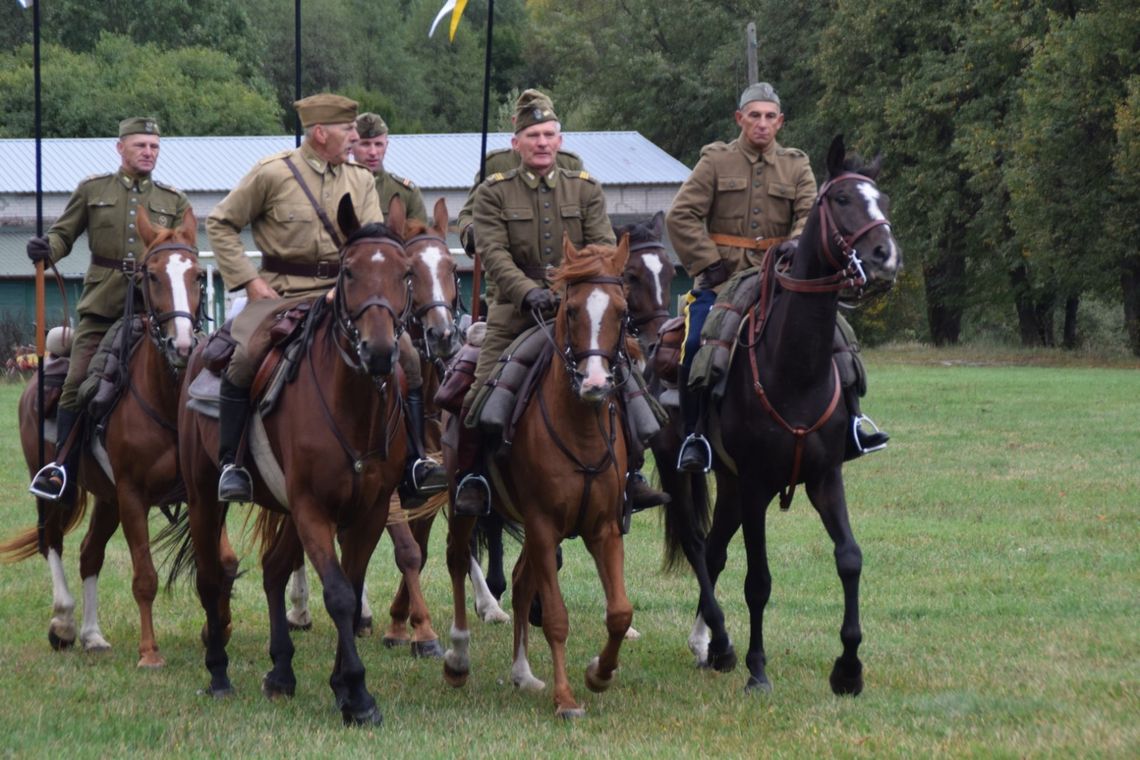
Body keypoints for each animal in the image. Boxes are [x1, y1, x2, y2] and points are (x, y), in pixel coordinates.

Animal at [1, 208, 205, 665]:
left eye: (198, 275)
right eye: (151, 275)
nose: (183, 346)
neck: (162, 397)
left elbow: (218, 559)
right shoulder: (132, 495)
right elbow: (144, 575)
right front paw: (149, 652)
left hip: (107, 498)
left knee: (89, 552)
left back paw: (92, 634)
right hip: (61, 488)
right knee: (52, 541)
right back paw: (63, 622)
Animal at [173, 195, 410, 724]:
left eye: (404, 273)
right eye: (348, 271)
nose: (380, 352)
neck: (351, 407)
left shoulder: (368, 510)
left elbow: (351, 587)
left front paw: (342, 686)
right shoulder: (312, 509)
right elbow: (339, 594)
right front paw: (358, 694)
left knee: (273, 568)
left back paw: (281, 672)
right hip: (203, 496)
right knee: (210, 579)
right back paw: (218, 673)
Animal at [440, 235, 633, 720]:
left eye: (622, 310)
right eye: (571, 310)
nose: (596, 383)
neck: (580, 428)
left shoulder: (603, 529)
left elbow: (619, 612)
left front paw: (599, 673)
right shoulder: (545, 527)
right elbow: (558, 618)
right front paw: (566, 698)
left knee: (523, 579)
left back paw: (522, 674)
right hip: (463, 504)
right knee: (457, 560)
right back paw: (458, 657)